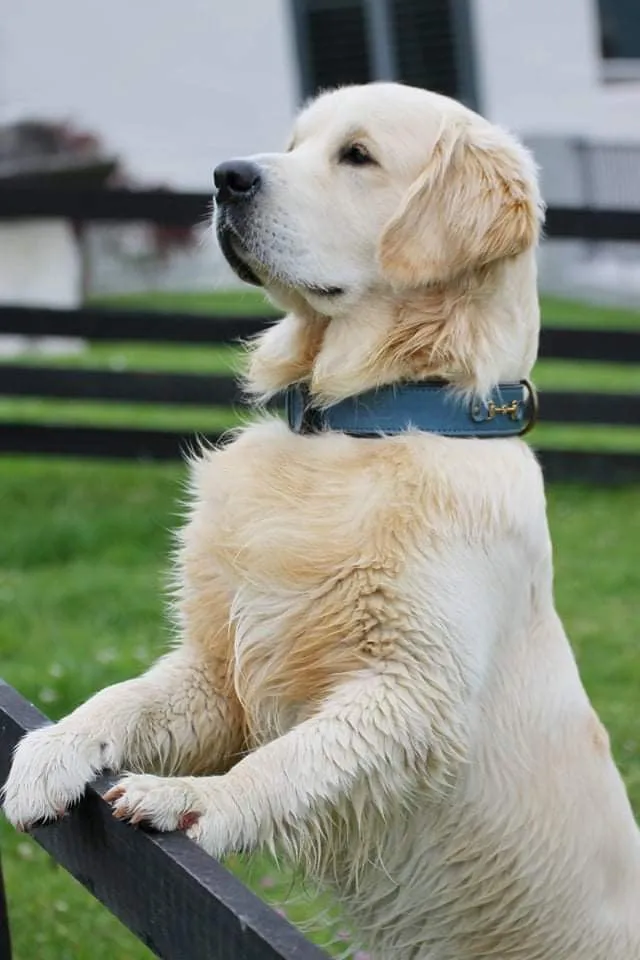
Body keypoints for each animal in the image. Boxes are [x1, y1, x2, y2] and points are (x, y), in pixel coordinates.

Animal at [5, 84, 640, 960]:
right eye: (294, 143)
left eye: (357, 155)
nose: (226, 177)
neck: (356, 427)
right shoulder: (219, 672)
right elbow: (123, 699)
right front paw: (52, 748)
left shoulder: (409, 695)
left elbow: (291, 761)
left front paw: (191, 799)